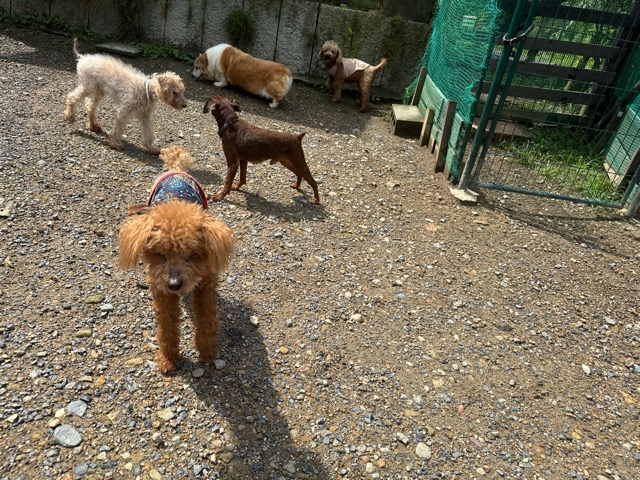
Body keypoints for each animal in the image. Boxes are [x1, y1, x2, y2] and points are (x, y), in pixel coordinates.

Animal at [119, 145, 235, 373]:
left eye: (192, 255)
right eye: (160, 254)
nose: (174, 284)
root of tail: (176, 168)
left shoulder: (206, 285)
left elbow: (207, 320)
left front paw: (208, 352)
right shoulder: (162, 292)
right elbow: (167, 327)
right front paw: (168, 358)